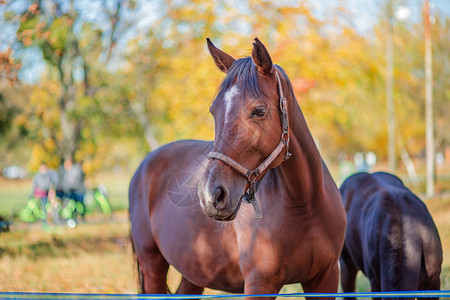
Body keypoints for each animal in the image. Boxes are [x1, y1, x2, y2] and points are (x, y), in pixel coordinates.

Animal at [128, 37, 346, 298]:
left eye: (259, 111)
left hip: (193, 273)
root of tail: (145, 165)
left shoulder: (325, 279)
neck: (304, 204)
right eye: (214, 111)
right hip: (152, 267)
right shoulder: (259, 285)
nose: (210, 195)